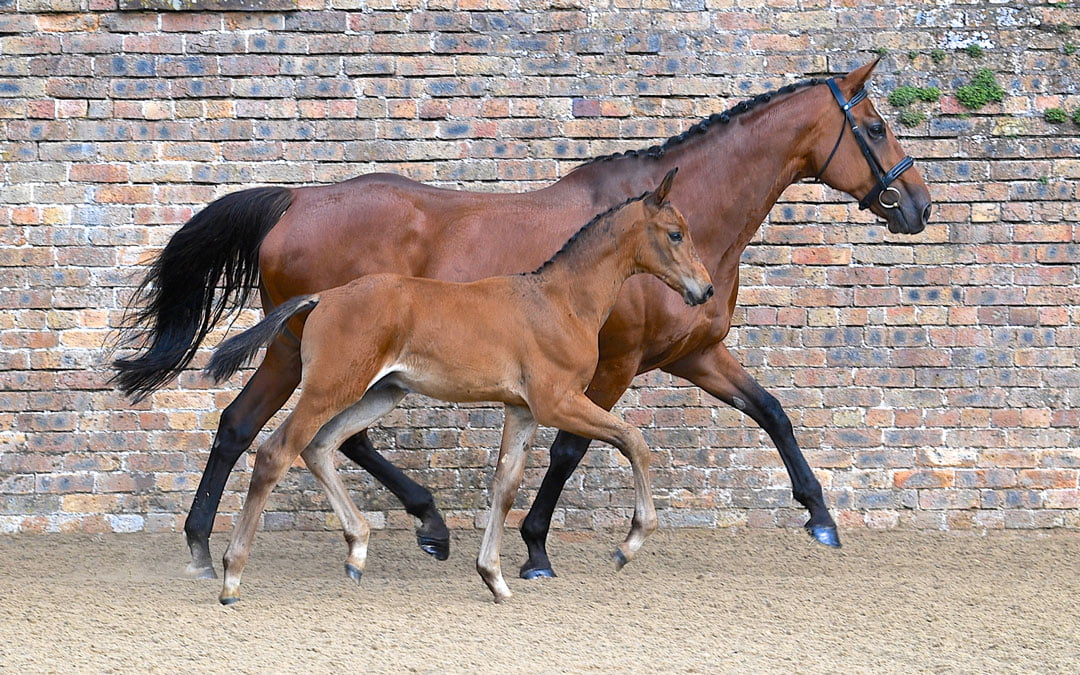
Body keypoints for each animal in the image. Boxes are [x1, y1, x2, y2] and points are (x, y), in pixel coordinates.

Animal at [202, 171, 713, 603]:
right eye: (675, 234)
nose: (704, 290)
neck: (560, 301)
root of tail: (324, 297)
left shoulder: (523, 409)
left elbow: (505, 485)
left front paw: (495, 578)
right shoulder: (557, 402)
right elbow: (634, 440)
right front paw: (630, 543)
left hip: (379, 393)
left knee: (320, 446)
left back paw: (357, 550)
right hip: (330, 387)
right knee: (277, 452)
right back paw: (230, 576)